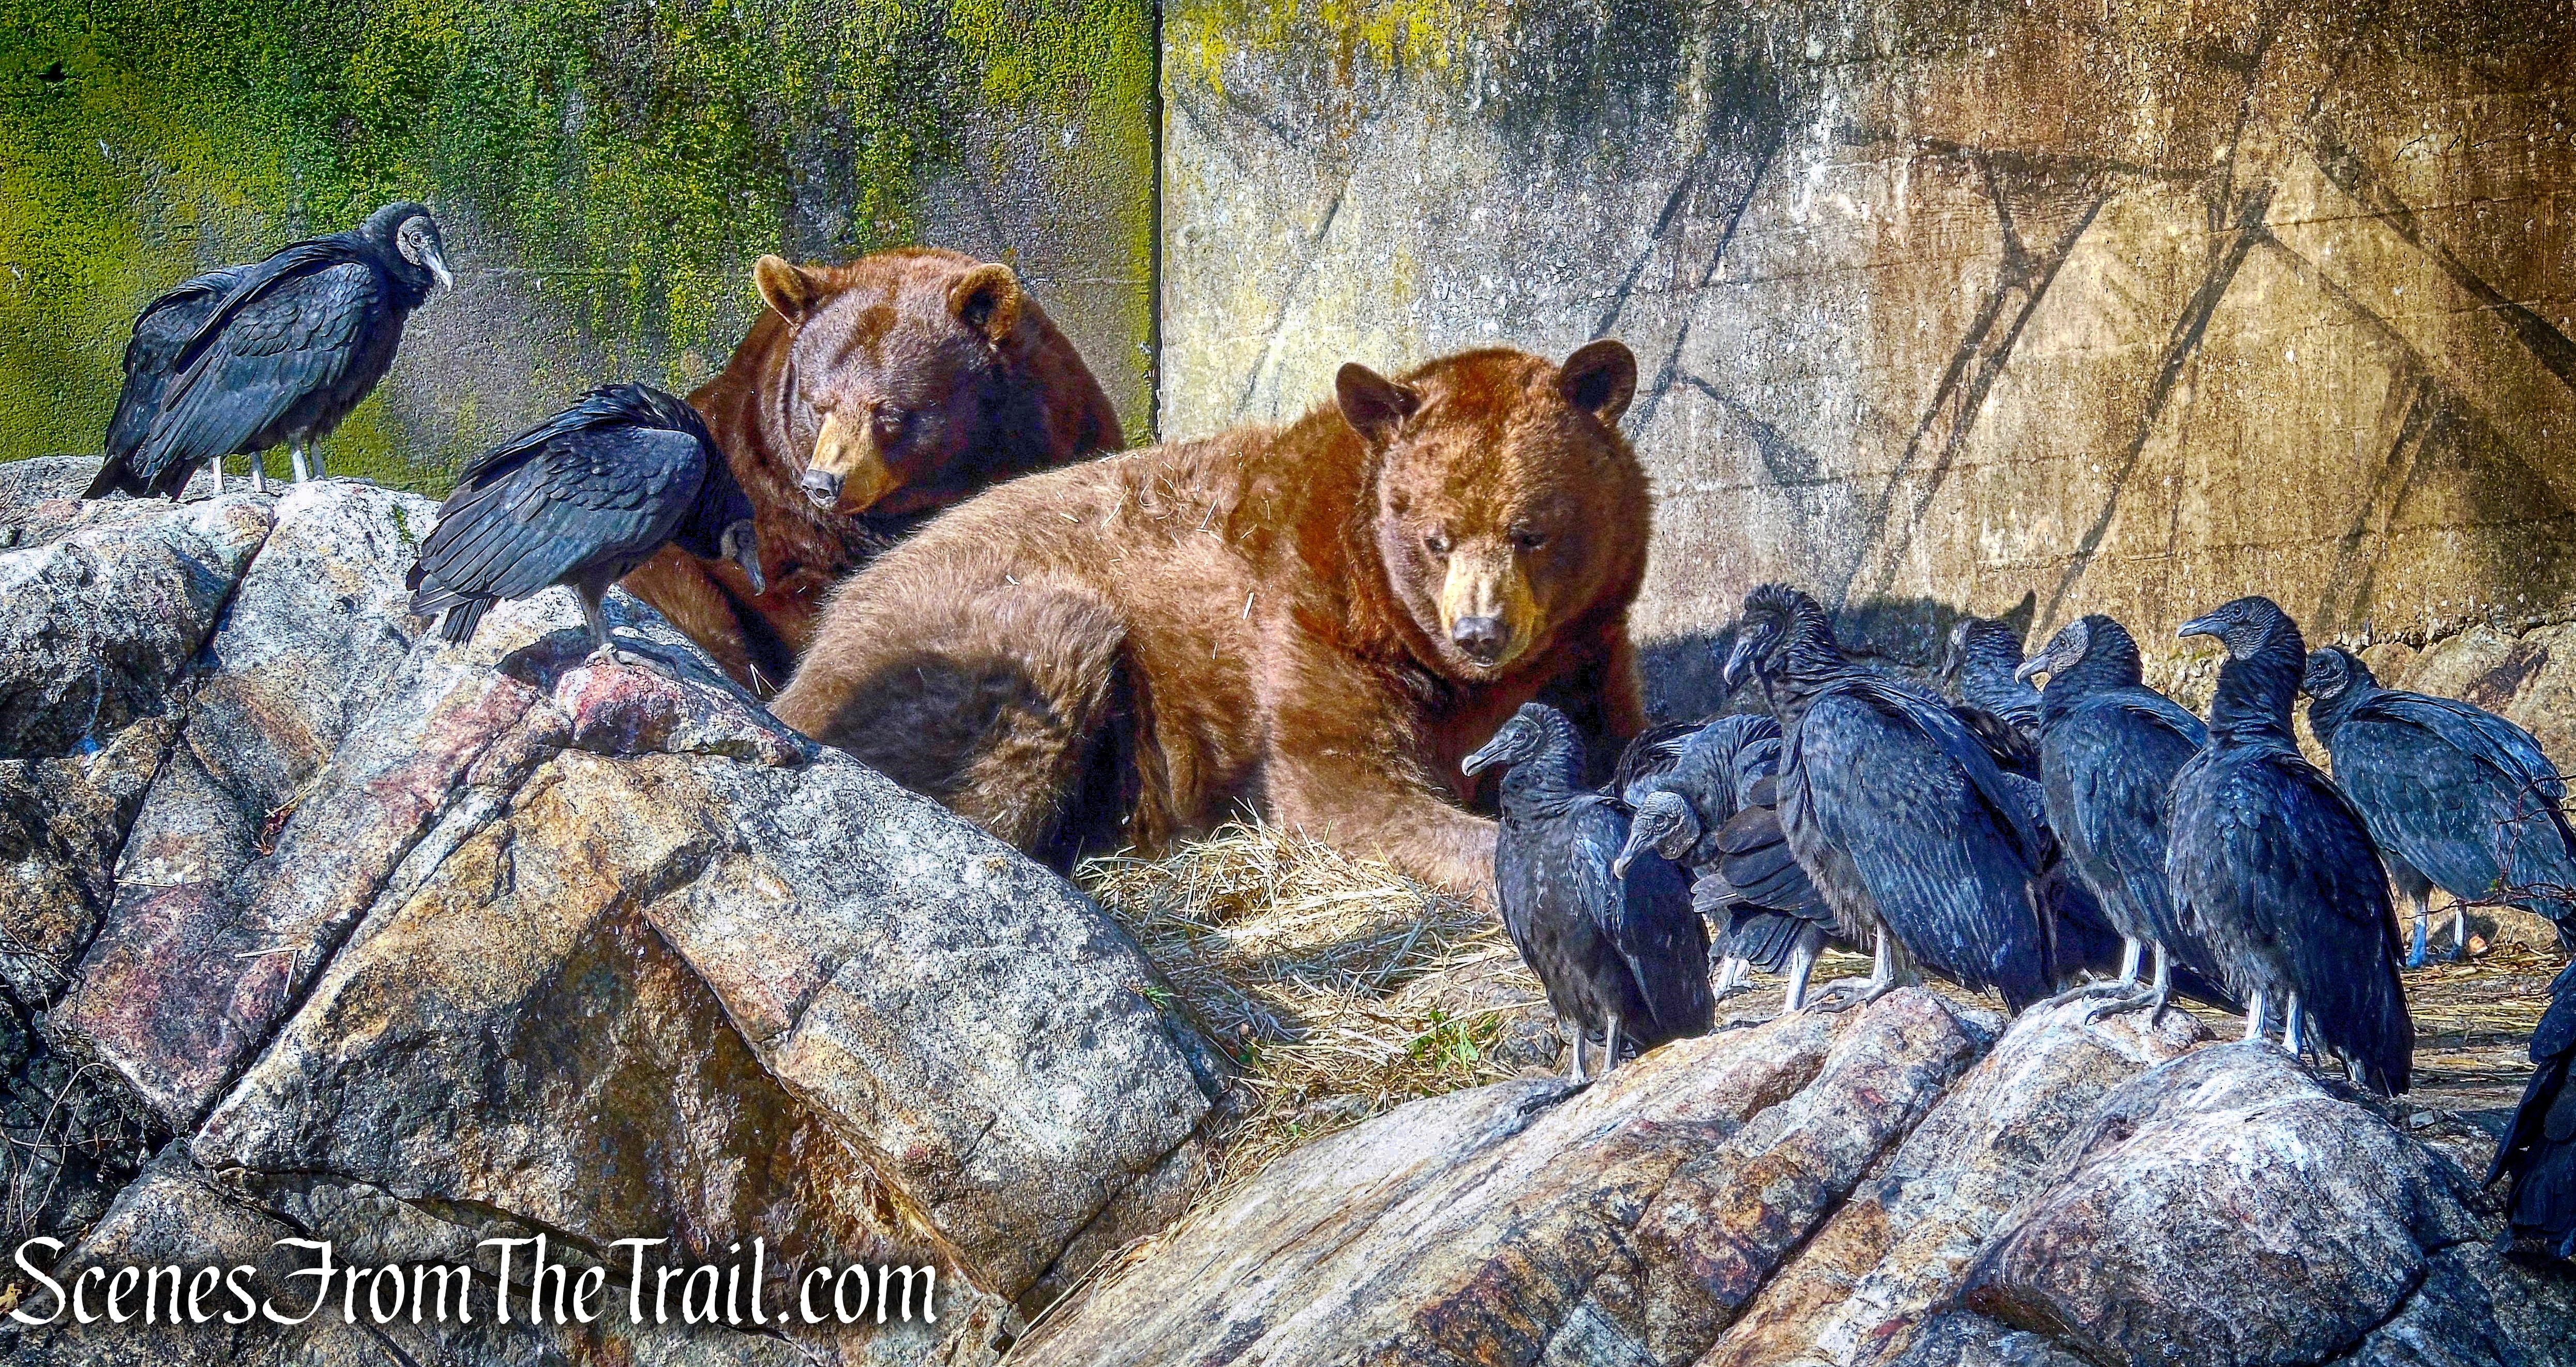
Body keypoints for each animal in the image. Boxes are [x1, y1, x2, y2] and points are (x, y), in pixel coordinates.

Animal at [769, 340, 1651, 897]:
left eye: (1530, 530)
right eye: (1436, 536)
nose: (1481, 631)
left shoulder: (1587, 645)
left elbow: (1613, 731)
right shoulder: (1308, 625)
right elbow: (1343, 782)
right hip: (961, 635)